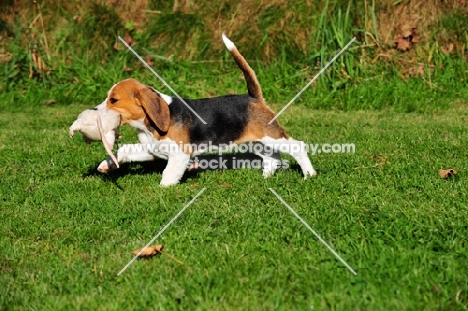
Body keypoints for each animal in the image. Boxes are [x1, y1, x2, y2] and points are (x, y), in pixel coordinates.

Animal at [93, 33, 316, 188]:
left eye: (113, 100)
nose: (94, 110)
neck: (147, 125)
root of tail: (254, 98)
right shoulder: (152, 150)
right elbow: (124, 150)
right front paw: (106, 164)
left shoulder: (179, 154)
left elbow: (169, 173)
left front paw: (163, 189)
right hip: (255, 141)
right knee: (272, 157)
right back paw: (267, 177)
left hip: (270, 135)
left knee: (297, 147)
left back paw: (309, 174)